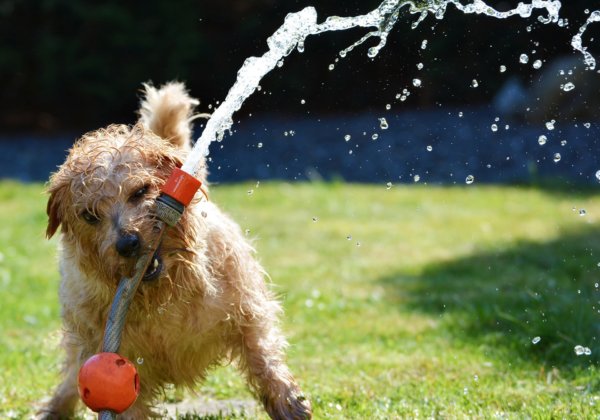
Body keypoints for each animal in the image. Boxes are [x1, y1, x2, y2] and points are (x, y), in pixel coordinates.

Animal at [41, 83, 312, 420]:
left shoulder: (247, 309)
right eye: (89, 215)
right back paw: (53, 408)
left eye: (141, 191)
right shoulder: (117, 358)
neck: (163, 295)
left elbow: (261, 353)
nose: (127, 243)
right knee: (70, 374)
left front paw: (287, 401)